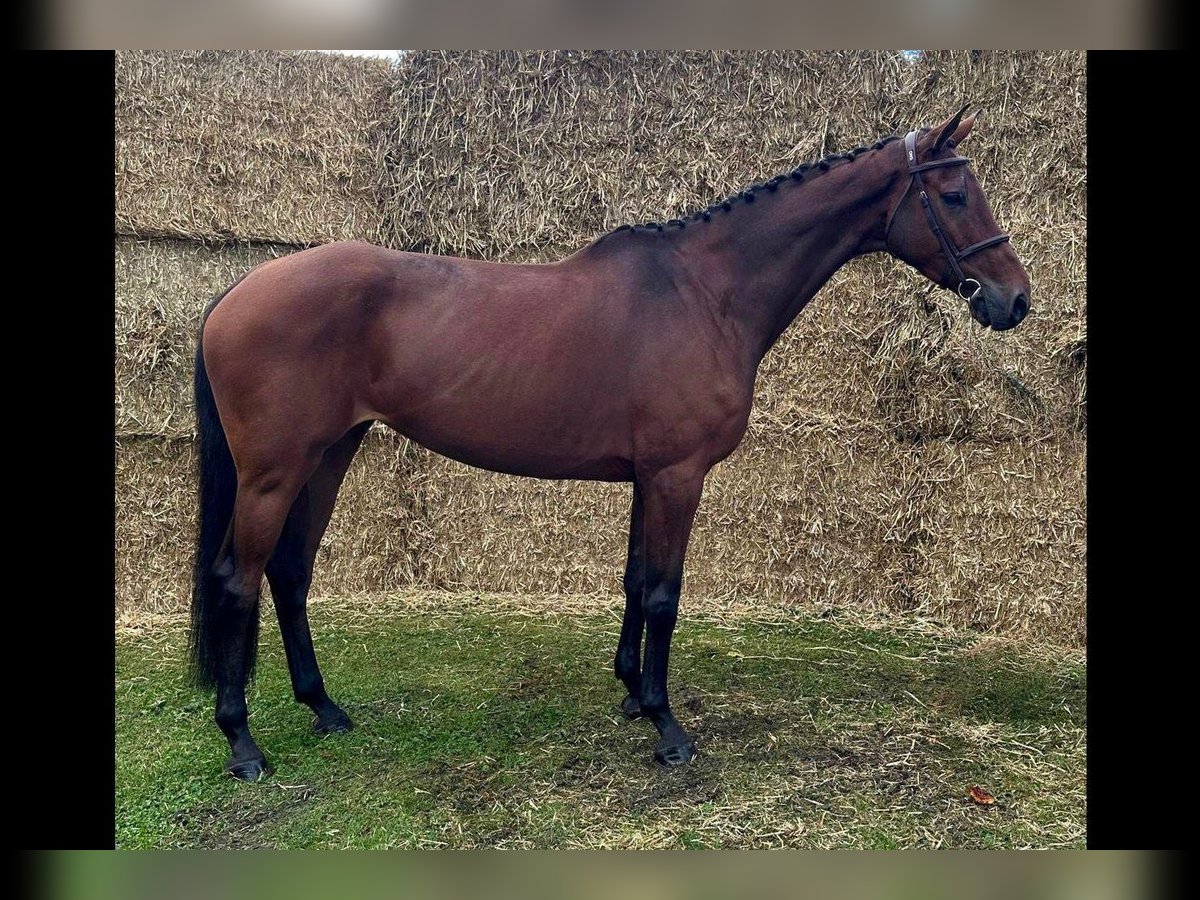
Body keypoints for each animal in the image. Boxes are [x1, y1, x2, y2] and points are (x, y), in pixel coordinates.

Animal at [189, 107, 1032, 782]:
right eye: (954, 195)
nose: (1014, 300)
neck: (704, 292)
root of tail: (239, 289)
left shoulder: (646, 477)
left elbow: (633, 583)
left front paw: (630, 694)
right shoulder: (677, 476)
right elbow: (663, 594)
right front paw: (666, 726)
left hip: (331, 453)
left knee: (290, 573)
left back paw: (324, 709)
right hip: (274, 472)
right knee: (238, 579)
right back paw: (243, 744)